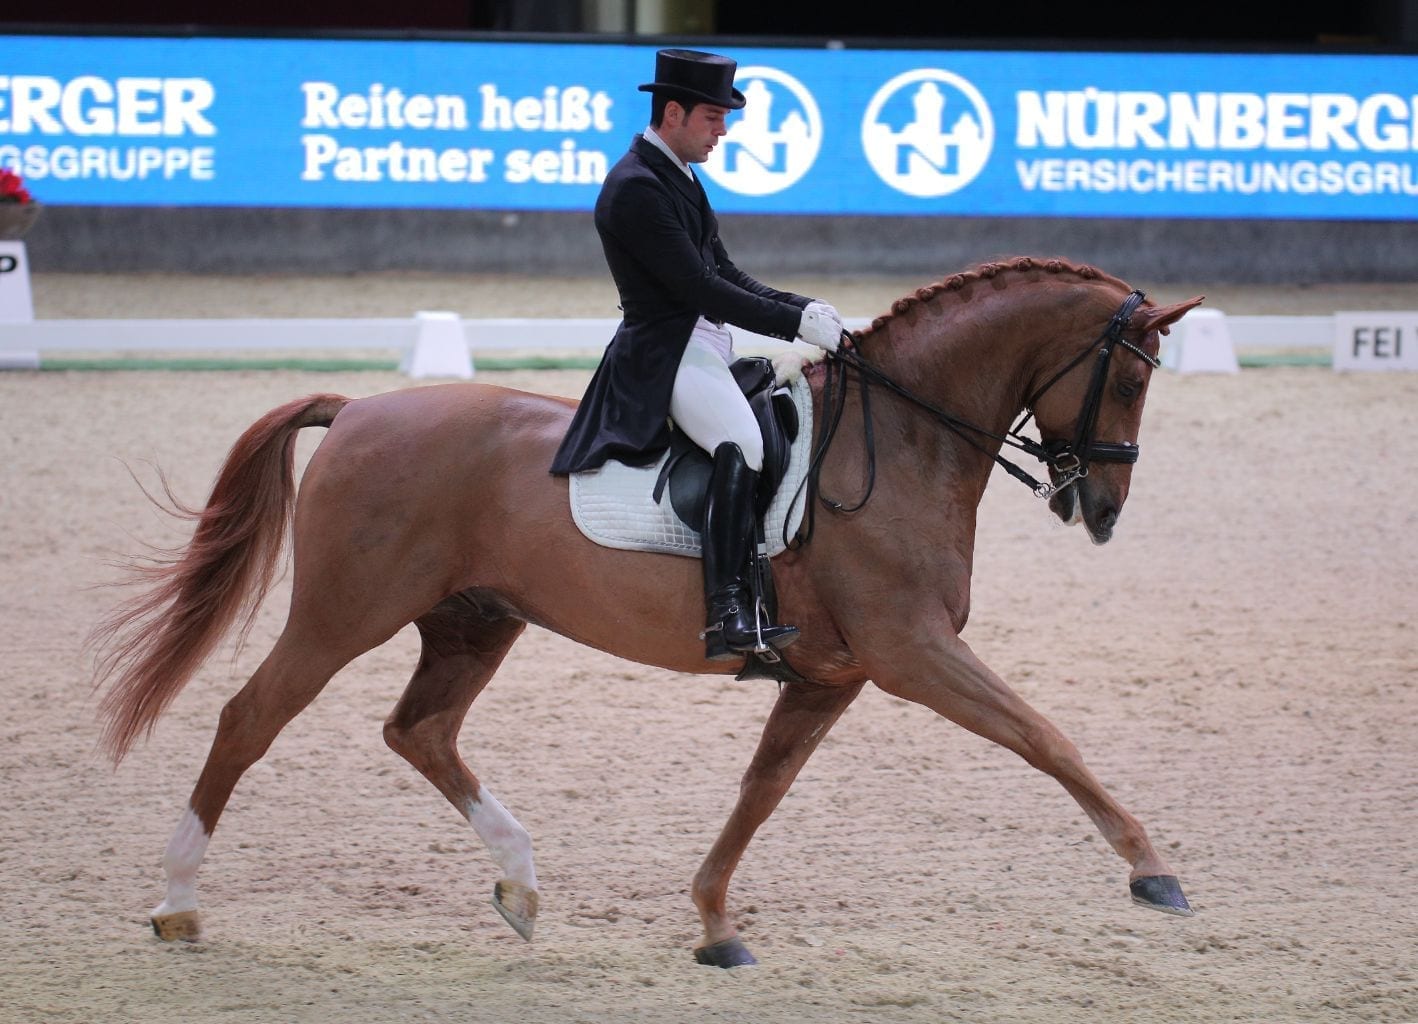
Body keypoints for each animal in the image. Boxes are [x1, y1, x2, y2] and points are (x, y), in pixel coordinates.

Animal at [91, 255, 1208, 964]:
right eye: (1132, 377)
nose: (1103, 509)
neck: (898, 439)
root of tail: (359, 408)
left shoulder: (833, 675)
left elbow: (760, 790)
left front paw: (714, 924)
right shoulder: (911, 652)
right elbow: (1045, 737)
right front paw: (1154, 874)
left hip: (474, 618)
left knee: (420, 731)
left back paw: (520, 885)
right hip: (343, 613)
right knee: (249, 719)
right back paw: (178, 907)